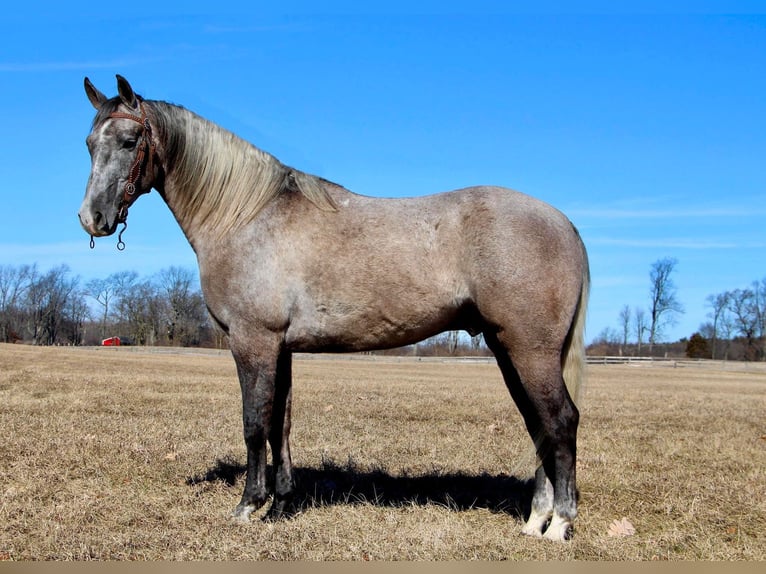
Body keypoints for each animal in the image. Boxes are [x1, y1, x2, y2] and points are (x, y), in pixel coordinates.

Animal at [79, 74, 592, 544]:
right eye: (88, 144)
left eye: (129, 141)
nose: (92, 218)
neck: (247, 216)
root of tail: (563, 223)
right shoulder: (281, 347)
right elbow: (280, 423)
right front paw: (281, 504)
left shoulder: (252, 340)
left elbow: (254, 422)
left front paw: (248, 505)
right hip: (509, 349)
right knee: (539, 425)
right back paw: (536, 521)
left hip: (530, 350)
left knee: (560, 421)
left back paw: (559, 523)